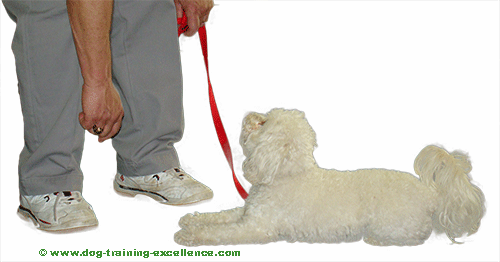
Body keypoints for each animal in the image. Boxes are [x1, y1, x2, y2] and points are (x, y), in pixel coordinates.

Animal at [175, 108, 484, 246]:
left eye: (263, 122)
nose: (248, 115)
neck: (286, 174)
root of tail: (429, 193)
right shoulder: (248, 213)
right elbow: (220, 216)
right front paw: (191, 219)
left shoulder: (257, 228)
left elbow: (222, 232)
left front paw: (189, 235)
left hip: (394, 225)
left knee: (414, 237)